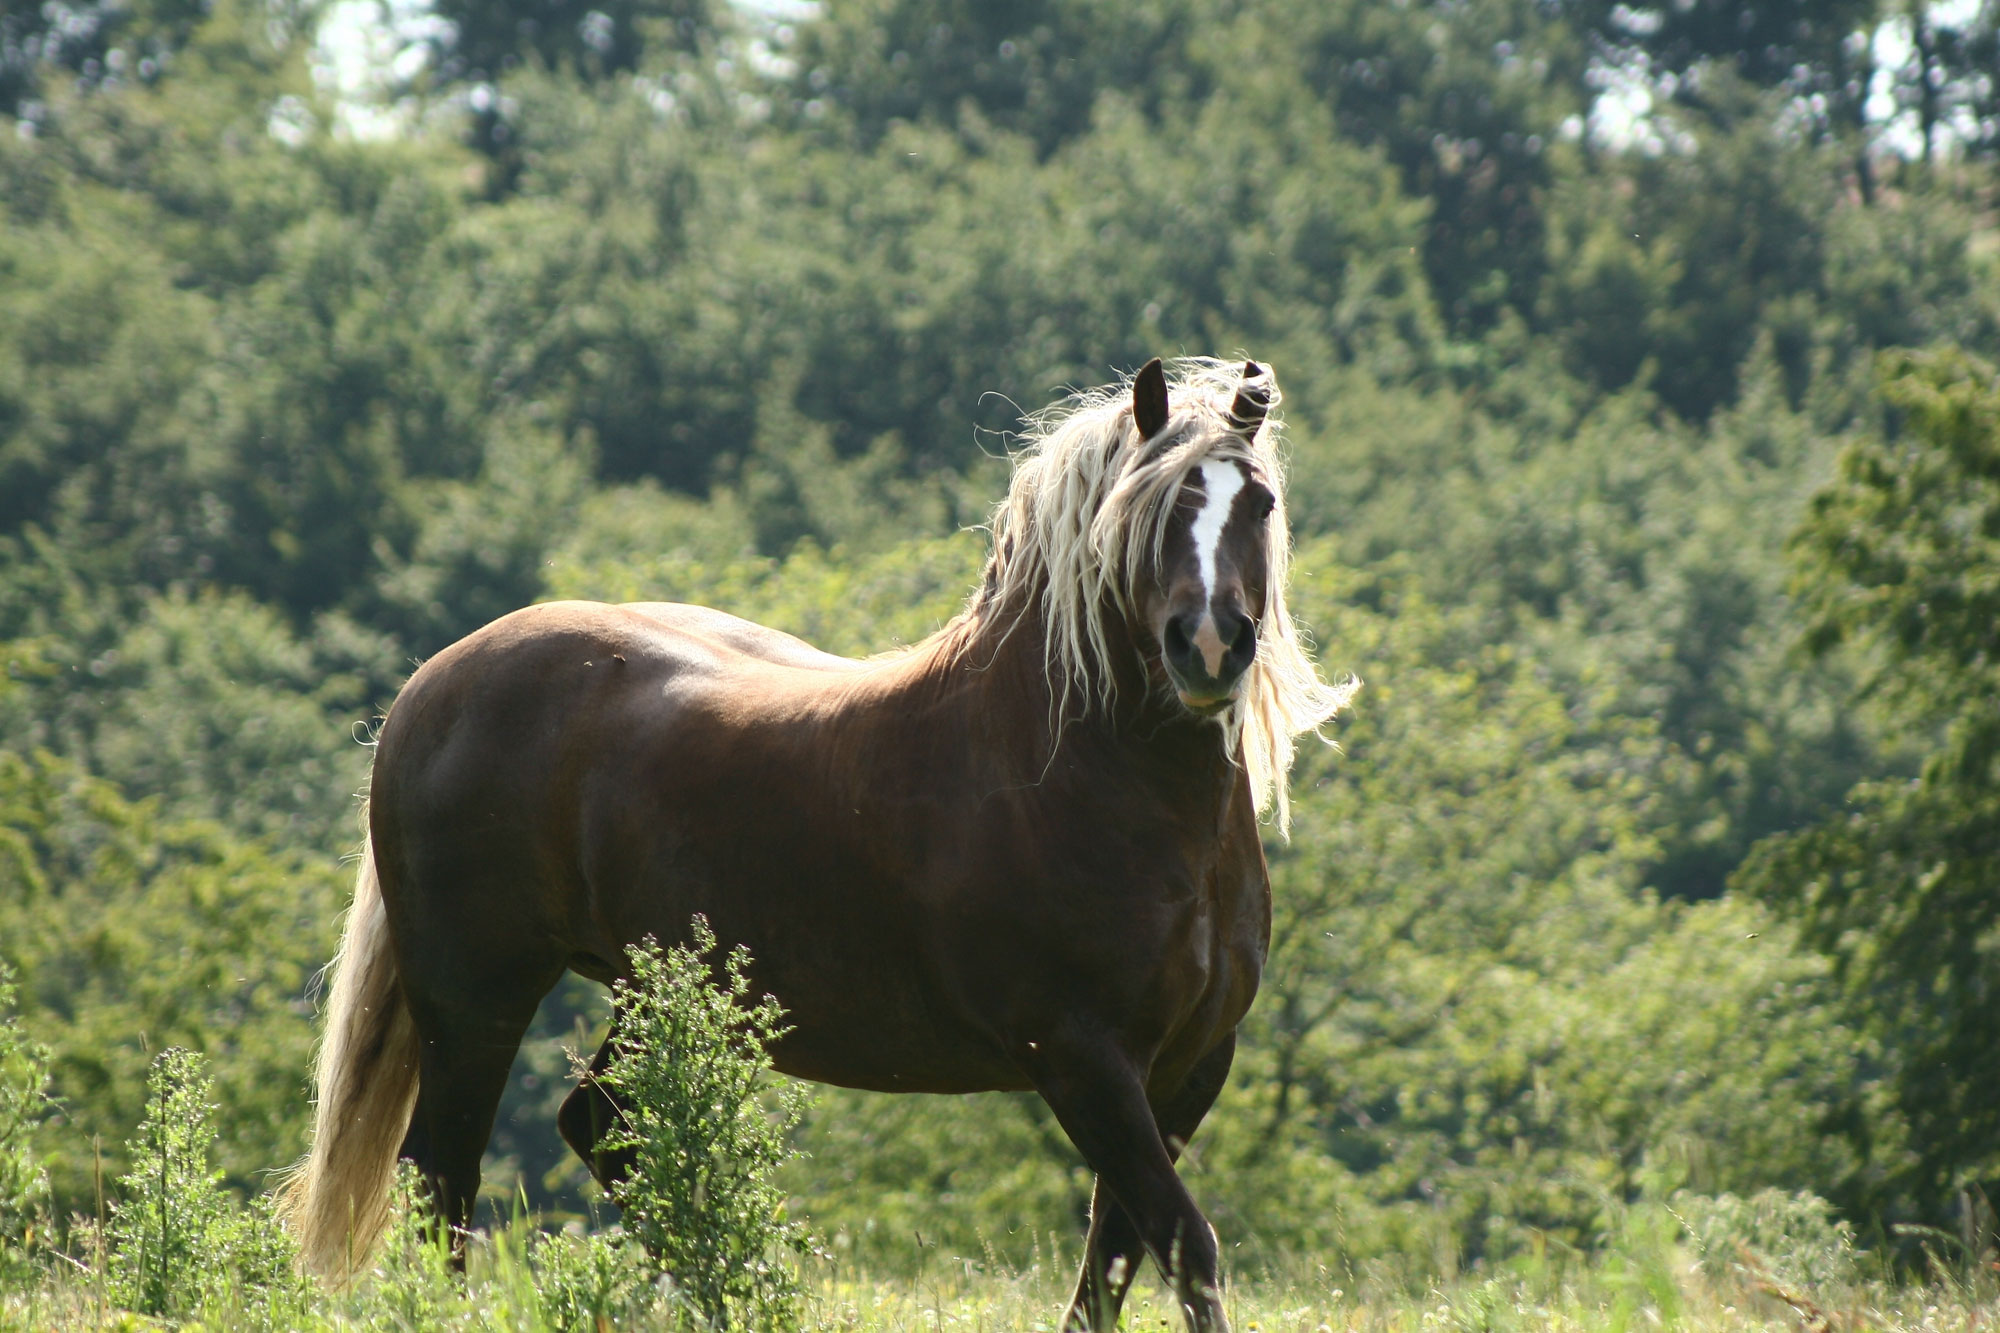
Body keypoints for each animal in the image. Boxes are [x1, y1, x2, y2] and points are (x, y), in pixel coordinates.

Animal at [278, 356, 1355, 1331]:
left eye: (1256, 502)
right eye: (1153, 508)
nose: (1208, 646)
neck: (1081, 775)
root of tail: (429, 687)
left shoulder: (1189, 1065)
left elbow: (1118, 1258)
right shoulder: (1083, 1057)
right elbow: (1182, 1242)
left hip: (645, 991)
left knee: (599, 1129)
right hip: (475, 1001)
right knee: (444, 1185)